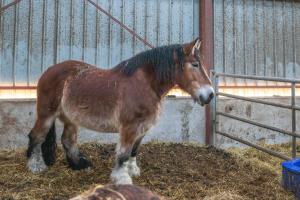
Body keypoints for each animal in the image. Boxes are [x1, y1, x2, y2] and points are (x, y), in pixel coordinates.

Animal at [25, 38, 213, 184]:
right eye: (195, 64)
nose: (210, 95)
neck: (145, 84)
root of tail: (48, 71)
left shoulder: (143, 128)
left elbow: (134, 150)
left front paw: (132, 171)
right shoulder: (129, 128)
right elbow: (123, 153)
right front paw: (122, 178)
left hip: (71, 118)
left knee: (68, 140)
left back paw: (80, 165)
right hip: (47, 115)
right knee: (36, 136)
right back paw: (36, 166)